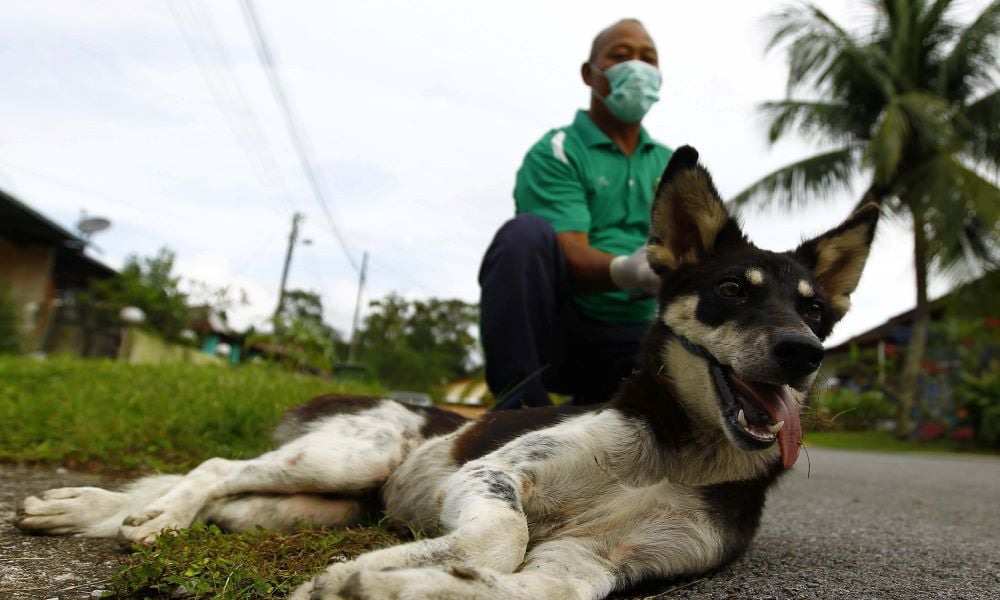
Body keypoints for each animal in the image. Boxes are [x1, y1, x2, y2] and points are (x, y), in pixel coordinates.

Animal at [13, 146, 876, 600]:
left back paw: (100, 510)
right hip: (351, 453)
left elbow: (525, 583)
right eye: (734, 291)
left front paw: (393, 581)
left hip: (312, 501)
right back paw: (154, 518)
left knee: (229, 498)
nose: (803, 351)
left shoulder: (605, 560)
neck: (679, 450)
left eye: (817, 312)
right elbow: (500, 537)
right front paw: (386, 570)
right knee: (218, 466)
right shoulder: (496, 476)